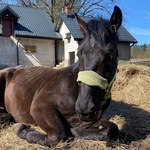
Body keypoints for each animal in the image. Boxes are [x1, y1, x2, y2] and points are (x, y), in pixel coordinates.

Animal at [0, 5, 122, 148]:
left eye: (110, 53)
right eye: (79, 52)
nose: (84, 107)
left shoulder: (89, 118)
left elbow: (111, 129)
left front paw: (76, 131)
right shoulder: (39, 107)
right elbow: (58, 135)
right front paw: (22, 129)